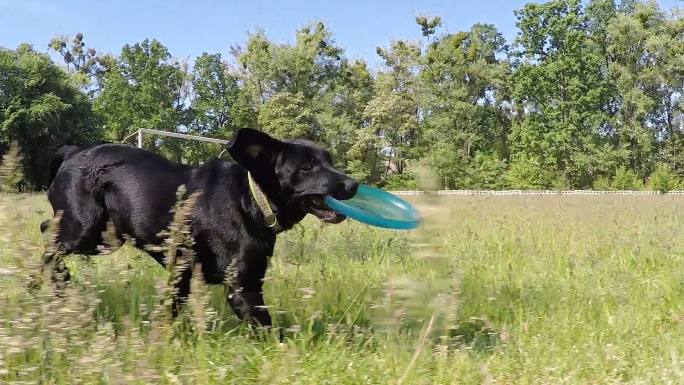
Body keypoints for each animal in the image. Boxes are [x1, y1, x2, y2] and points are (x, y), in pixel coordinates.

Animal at [40, 128, 358, 324]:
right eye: (306, 167)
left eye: (330, 160)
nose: (352, 184)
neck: (252, 198)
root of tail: (72, 153)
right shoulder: (242, 286)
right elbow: (270, 331)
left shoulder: (188, 271)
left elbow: (171, 307)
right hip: (85, 229)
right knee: (49, 237)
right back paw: (53, 280)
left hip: (106, 236)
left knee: (47, 229)